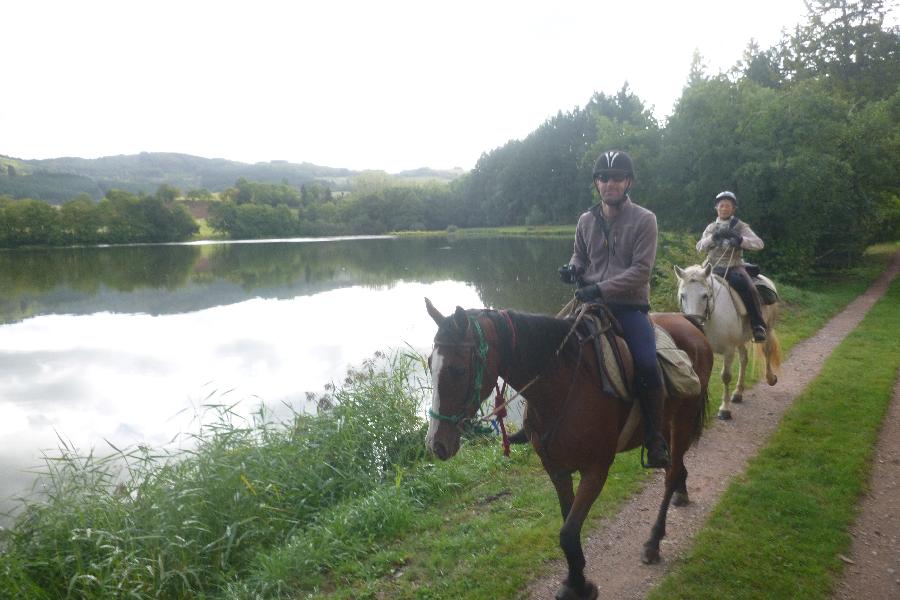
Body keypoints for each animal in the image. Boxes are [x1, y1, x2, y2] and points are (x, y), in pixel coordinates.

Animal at [426, 300, 712, 600]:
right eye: (430, 364)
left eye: (457, 370)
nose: (436, 444)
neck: (561, 387)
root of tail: (689, 323)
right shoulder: (557, 470)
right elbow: (568, 526)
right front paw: (576, 577)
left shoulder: (596, 471)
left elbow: (567, 532)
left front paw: (579, 585)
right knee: (676, 467)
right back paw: (681, 493)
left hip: (682, 421)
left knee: (671, 473)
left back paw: (653, 542)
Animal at [676, 264, 780, 420]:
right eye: (683, 295)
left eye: (705, 295)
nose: (694, 322)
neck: (713, 315)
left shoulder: (729, 350)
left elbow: (725, 376)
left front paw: (724, 409)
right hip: (741, 339)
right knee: (744, 359)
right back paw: (738, 393)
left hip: (768, 329)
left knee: (767, 352)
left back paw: (771, 378)